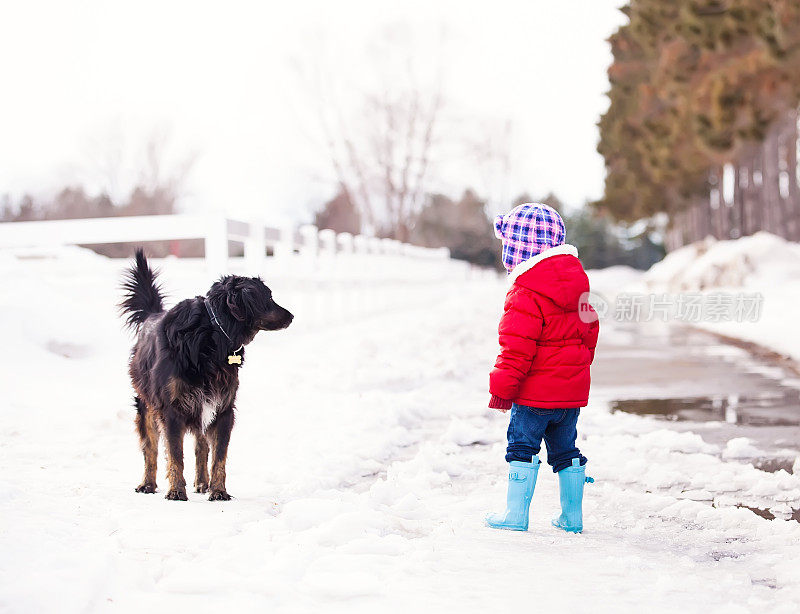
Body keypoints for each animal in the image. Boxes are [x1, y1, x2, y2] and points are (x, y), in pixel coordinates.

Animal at [119, 249, 294, 500]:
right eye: (268, 297)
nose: (291, 316)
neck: (212, 336)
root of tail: (152, 315)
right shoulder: (171, 409)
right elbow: (175, 455)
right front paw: (176, 490)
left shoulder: (222, 407)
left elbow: (218, 456)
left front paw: (218, 490)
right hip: (147, 405)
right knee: (150, 449)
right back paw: (147, 484)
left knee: (201, 445)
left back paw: (202, 483)